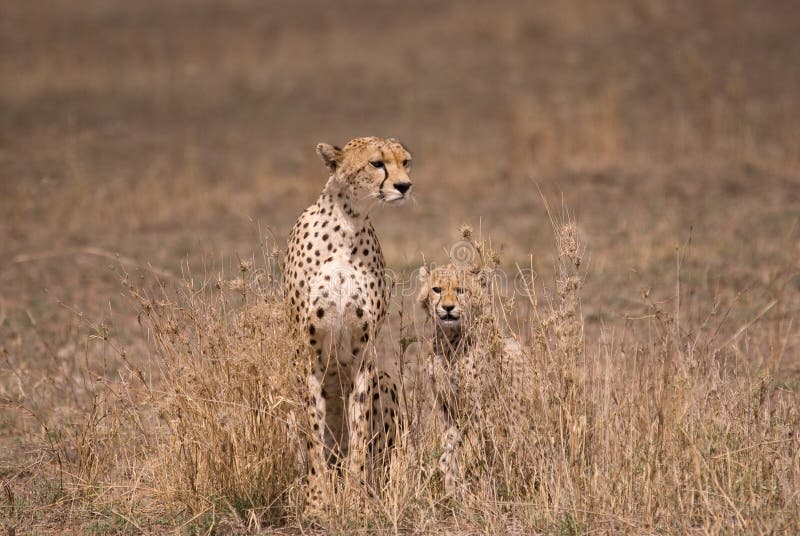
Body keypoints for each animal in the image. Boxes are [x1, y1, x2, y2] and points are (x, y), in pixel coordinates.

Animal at [286, 136, 412, 512]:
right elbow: (314, 435)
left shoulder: (364, 356)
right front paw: (316, 501)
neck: (348, 226)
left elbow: (359, 431)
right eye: (376, 163)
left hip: (386, 381)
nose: (405, 186)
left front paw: (357, 497)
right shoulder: (308, 356)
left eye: (406, 162)